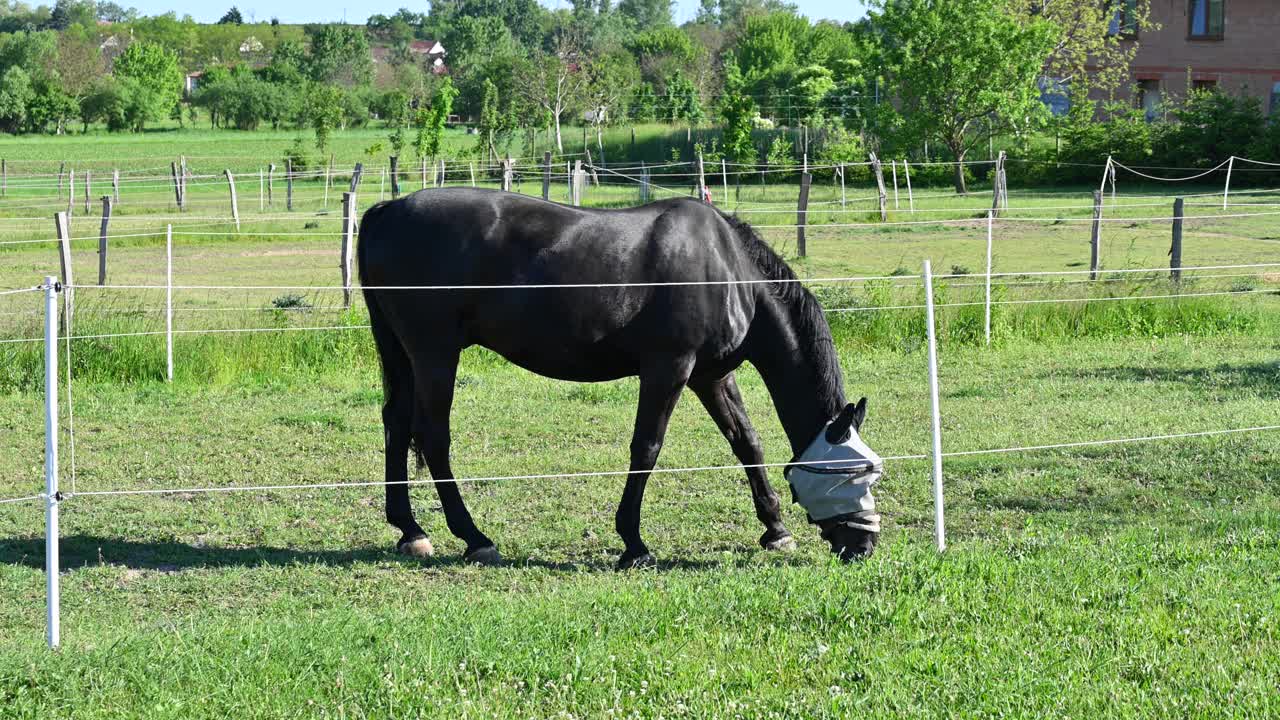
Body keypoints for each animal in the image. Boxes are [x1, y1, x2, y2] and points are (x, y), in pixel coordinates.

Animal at [360, 185, 880, 566]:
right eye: (854, 475)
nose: (864, 545)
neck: (727, 268)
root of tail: (386, 210)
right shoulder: (669, 368)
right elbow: (646, 448)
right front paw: (634, 543)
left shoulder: (710, 377)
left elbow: (747, 443)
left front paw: (775, 529)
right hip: (435, 354)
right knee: (433, 436)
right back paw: (474, 536)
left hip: (404, 355)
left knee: (395, 422)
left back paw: (410, 530)